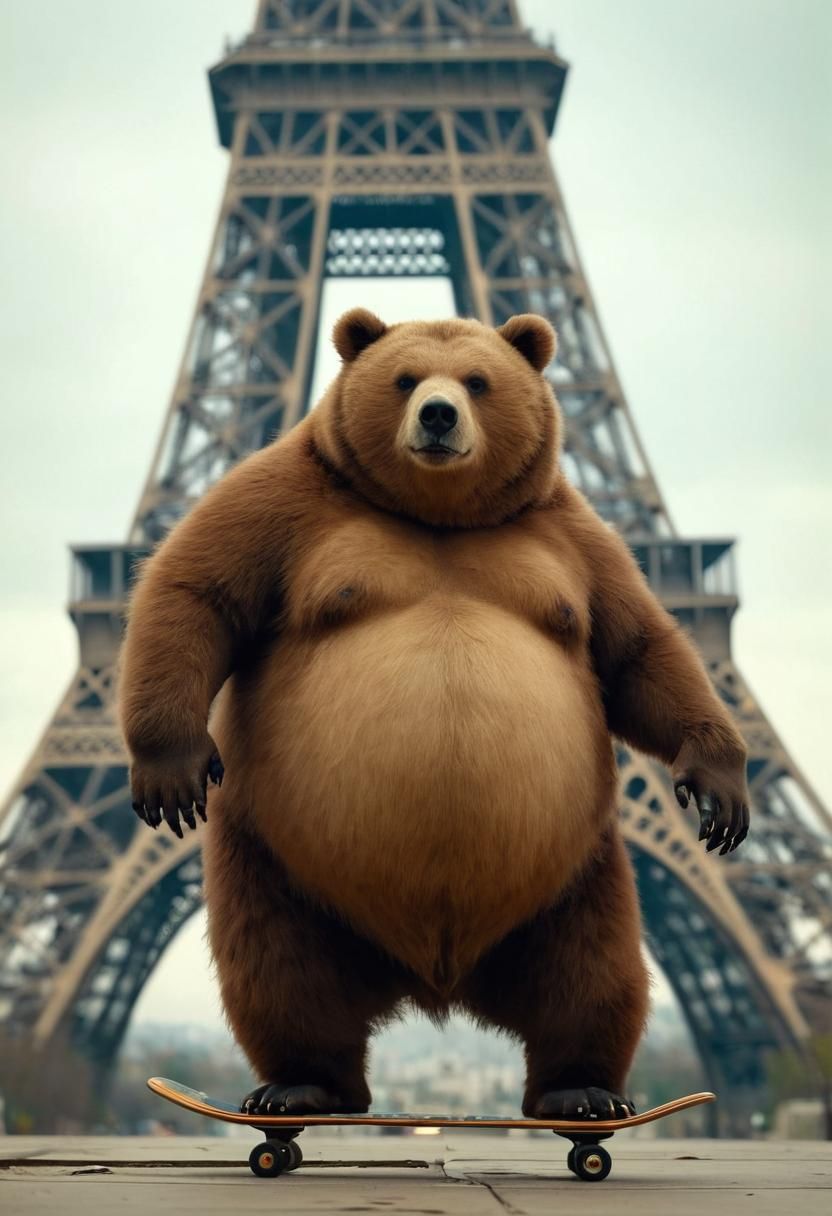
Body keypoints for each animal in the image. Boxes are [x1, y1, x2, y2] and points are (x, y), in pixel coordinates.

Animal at [118, 309, 750, 1121]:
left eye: (478, 382)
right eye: (405, 379)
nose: (440, 414)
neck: (438, 515)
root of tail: (436, 983)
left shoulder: (578, 536)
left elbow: (640, 648)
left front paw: (717, 770)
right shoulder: (272, 496)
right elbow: (192, 591)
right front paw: (168, 758)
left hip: (581, 875)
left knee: (593, 972)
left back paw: (579, 1091)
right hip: (274, 864)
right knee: (280, 969)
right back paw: (304, 1085)